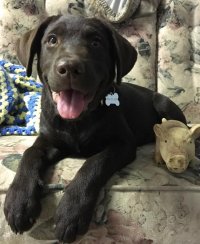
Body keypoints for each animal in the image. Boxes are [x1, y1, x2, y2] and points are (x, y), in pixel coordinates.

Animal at [3, 15, 187, 242]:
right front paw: (19, 201)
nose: (69, 68)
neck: (77, 121)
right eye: (52, 40)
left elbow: (94, 163)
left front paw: (71, 211)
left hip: (163, 104)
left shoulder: (123, 143)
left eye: (96, 43)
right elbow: (30, 154)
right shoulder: (48, 140)